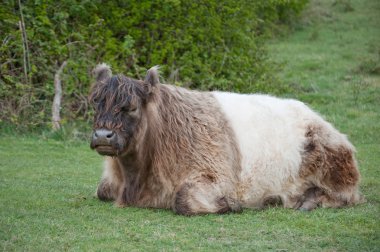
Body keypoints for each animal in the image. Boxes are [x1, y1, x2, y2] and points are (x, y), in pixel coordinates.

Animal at [87, 64, 364, 216]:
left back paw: (307, 200)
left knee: (346, 196)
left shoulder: (215, 175)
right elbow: (101, 190)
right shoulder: (110, 183)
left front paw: (231, 204)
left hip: (334, 169)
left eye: (132, 108)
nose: (103, 136)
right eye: (95, 102)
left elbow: (183, 199)